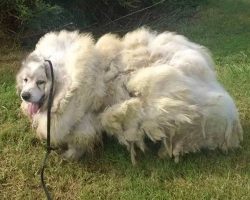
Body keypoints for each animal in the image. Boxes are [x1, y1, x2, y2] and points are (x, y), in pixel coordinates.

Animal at [15, 28, 242, 164]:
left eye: (41, 82)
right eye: (25, 80)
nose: (25, 96)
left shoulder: (84, 121)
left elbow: (79, 140)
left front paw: (70, 156)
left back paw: (166, 151)